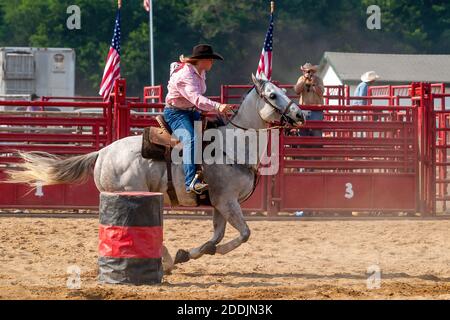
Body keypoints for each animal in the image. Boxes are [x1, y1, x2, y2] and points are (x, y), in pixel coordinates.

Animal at [6, 74, 306, 272]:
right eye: (272, 95)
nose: (301, 115)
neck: (233, 145)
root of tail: (102, 153)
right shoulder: (226, 200)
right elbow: (244, 234)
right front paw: (202, 253)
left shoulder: (218, 203)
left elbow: (217, 236)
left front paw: (192, 253)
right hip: (131, 193)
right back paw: (166, 260)